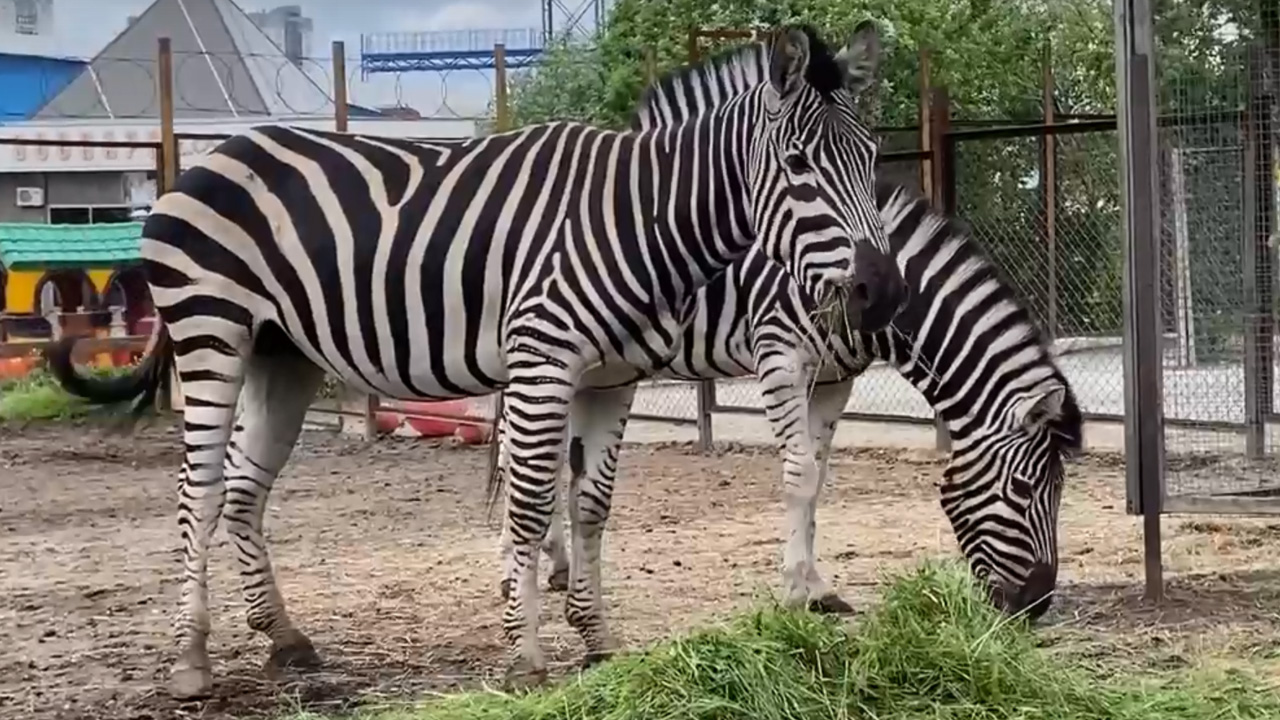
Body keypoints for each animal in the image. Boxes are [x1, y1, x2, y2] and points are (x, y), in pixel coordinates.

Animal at [42, 25, 901, 696]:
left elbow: (591, 507)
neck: (636, 217)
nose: (881, 291)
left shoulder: (611, 378)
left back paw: (285, 639)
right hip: (212, 331)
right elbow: (529, 504)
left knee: (247, 491)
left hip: (283, 355)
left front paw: (598, 641)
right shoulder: (544, 357)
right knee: (201, 491)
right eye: (798, 164)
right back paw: (191, 660)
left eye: (870, 158)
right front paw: (527, 655)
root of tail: (212, 154)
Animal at [496, 175, 1080, 622]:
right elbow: (799, 475)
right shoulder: (780, 355)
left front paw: (818, 586)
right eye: (1025, 488)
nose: (1037, 604)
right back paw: (512, 572)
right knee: (511, 454)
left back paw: (557, 566)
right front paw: (799, 591)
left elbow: (818, 478)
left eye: (1059, 490)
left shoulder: (834, 379)